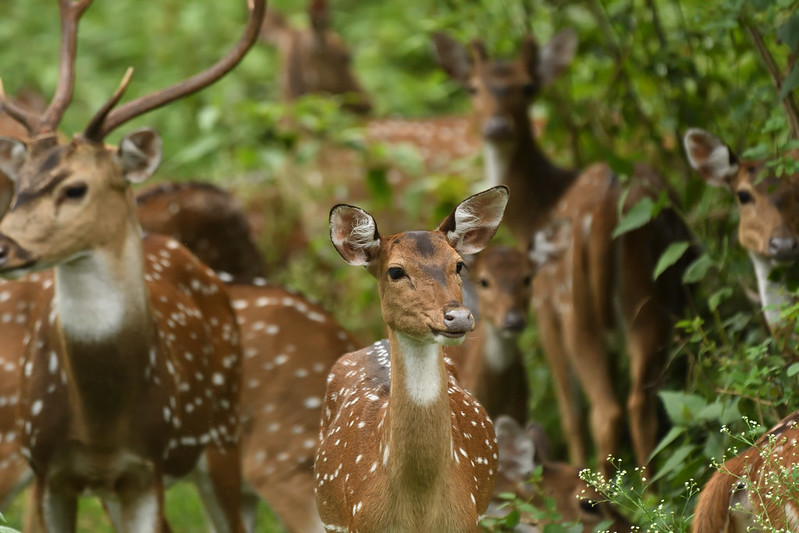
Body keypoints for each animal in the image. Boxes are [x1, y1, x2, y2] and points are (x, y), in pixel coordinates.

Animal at [0, 0, 266, 528]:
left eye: (75, 188)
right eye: (18, 184)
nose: (5, 245)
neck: (101, 422)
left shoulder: (148, 465)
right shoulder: (45, 466)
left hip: (223, 430)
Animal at [434, 31, 696, 476]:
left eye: (528, 87)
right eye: (473, 87)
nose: (497, 126)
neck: (539, 207)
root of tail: (609, 206)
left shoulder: (543, 310)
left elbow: (569, 411)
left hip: (576, 307)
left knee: (604, 410)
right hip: (652, 300)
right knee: (643, 400)